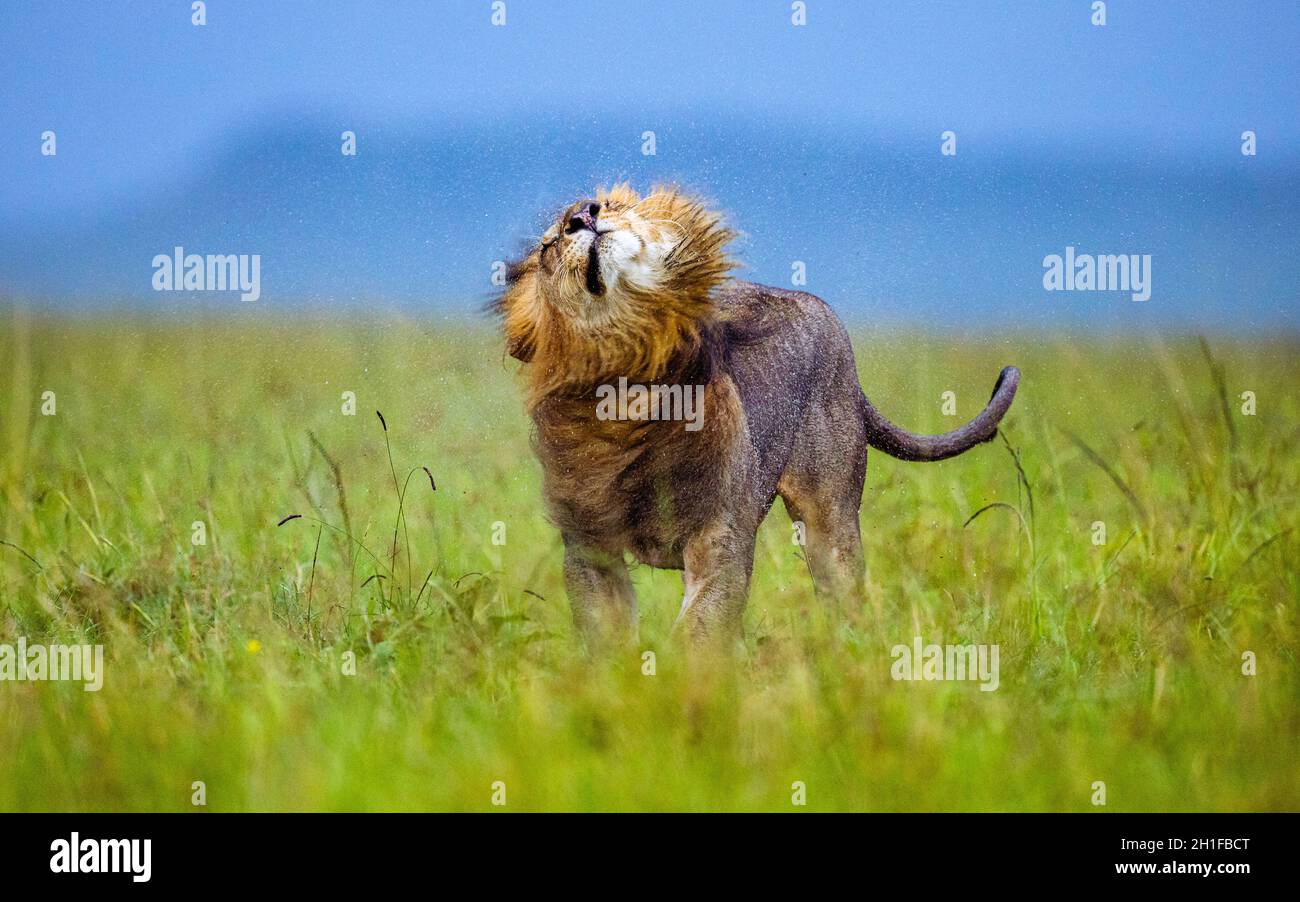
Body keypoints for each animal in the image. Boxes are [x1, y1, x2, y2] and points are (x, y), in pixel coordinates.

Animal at [491, 183, 1019, 649]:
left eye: (611, 204)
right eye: (549, 245)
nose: (583, 215)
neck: (626, 392)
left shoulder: (721, 540)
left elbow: (698, 630)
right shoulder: (589, 545)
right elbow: (608, 635)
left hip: (830, 512)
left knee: (844, 586)